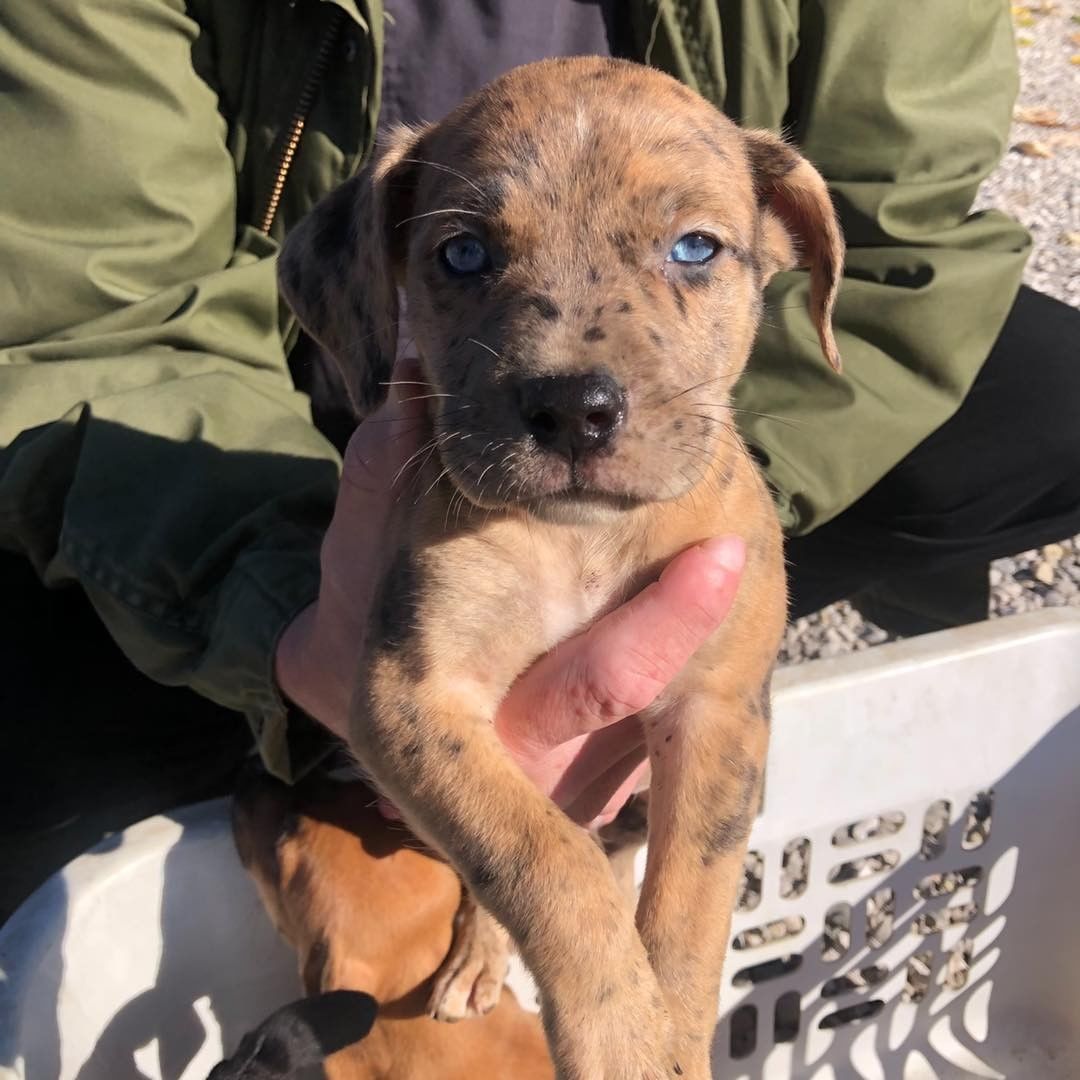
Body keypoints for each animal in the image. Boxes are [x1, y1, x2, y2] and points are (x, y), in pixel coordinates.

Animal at [280, 56, 842, 1080]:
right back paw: (473, 963)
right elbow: (541, 862)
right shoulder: (408, 699)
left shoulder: (718, 712)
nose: (575, 410)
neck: (583, 540)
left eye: (695, 248)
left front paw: (671, 1038)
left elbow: (689, 912)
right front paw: (620, 1036)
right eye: (463, 254)